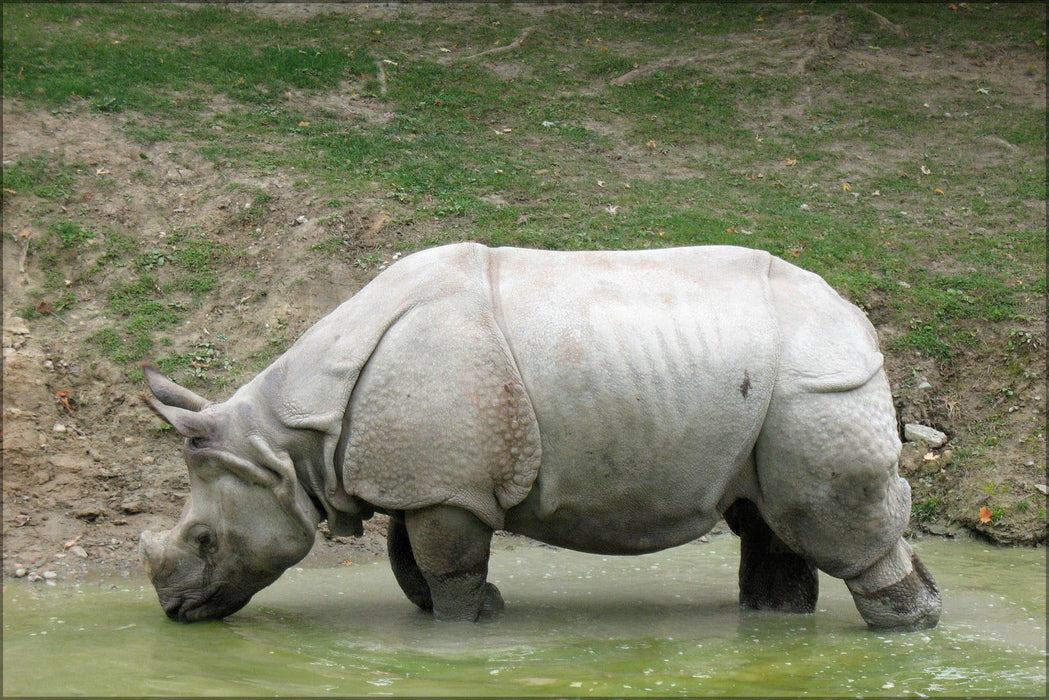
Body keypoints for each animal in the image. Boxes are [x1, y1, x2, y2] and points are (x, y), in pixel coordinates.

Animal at [140, 243, 940, 630]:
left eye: (206, 540)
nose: (175, 612)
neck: (285, 440)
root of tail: (855, 316)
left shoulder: (443, 483)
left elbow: (443, 566)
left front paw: (463, 627)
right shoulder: (433, 475)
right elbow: (410, 560)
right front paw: (480, 610)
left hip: (817, 387)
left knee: (831, 521)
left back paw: (909, 627)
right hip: (772, 395)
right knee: (768, 518)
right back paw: (777, 624)